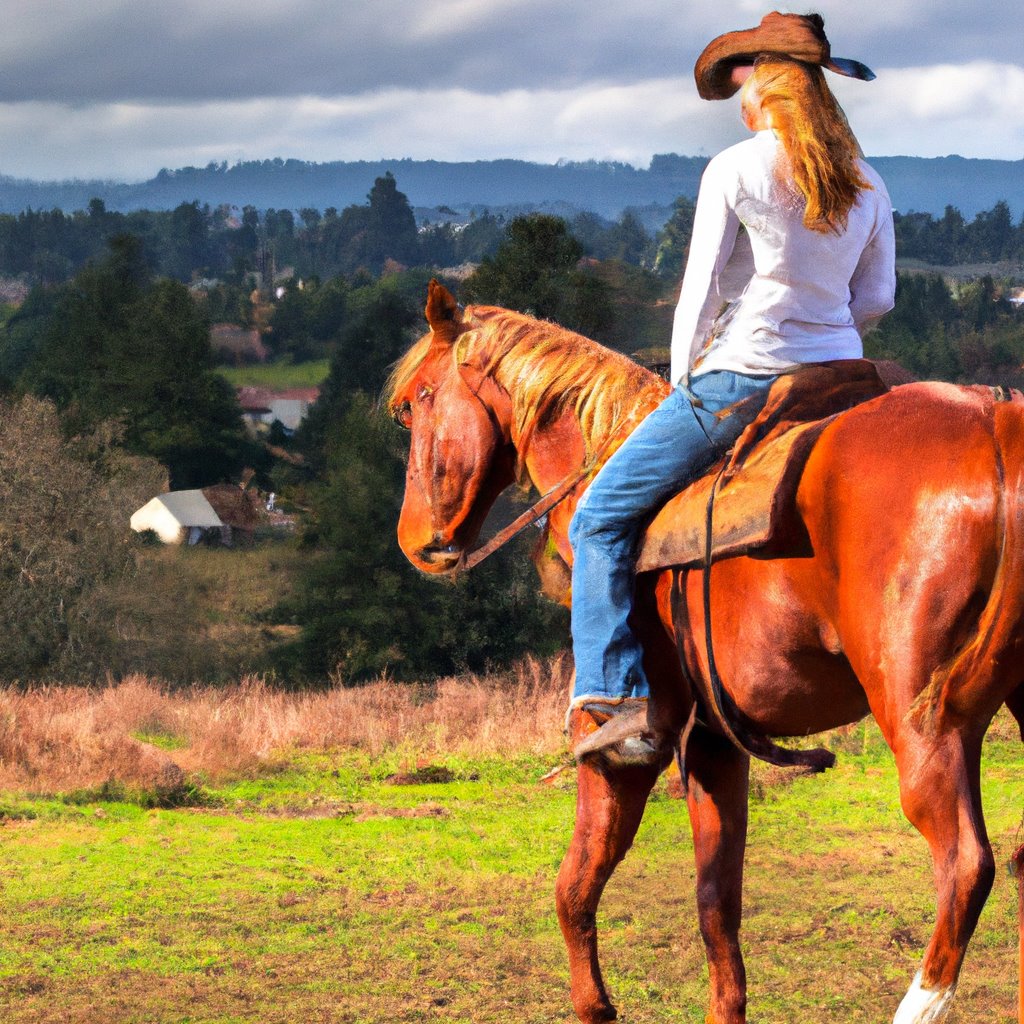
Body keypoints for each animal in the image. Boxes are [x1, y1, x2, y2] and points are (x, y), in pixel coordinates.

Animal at [385, 278, 1024, 1024]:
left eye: (415, 402)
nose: (414, 541)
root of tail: (995, 422)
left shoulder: (617, 744)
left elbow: (576, 885)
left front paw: (595, 1005)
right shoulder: (717, 742)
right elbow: (717, 905)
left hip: (924, 719)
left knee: (965, 864)